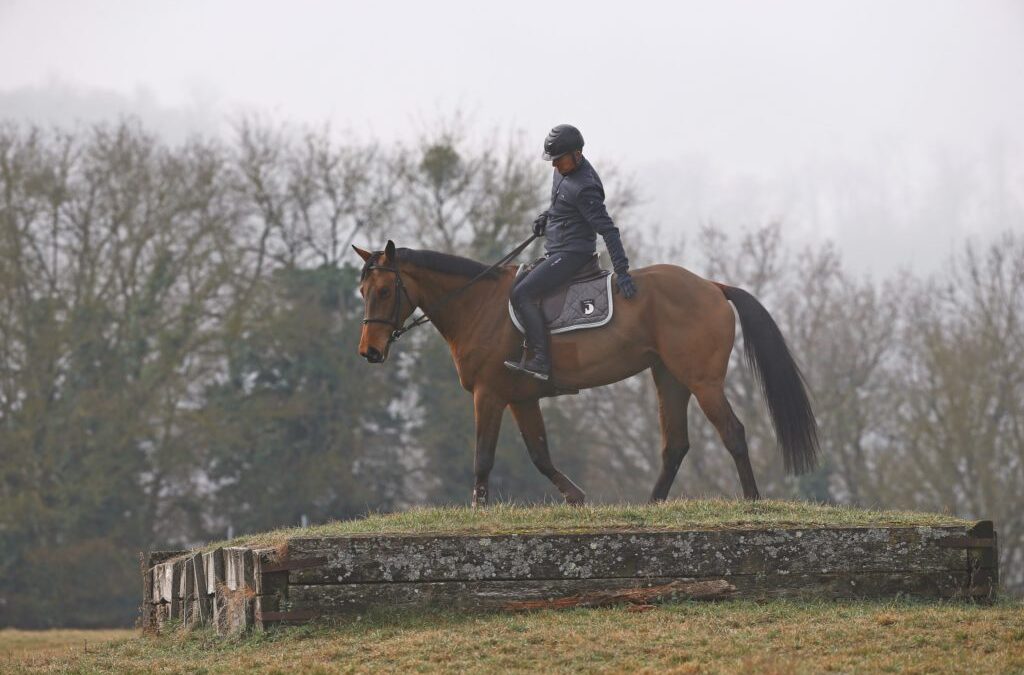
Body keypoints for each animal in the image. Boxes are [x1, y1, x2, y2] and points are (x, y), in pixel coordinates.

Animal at [354, 240, 818, 507]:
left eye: (385, 291)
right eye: (362, 291)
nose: (369, 352)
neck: (478, 305)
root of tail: (712, 286)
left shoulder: (488, 394)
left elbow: (483, 458)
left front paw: (479, 511)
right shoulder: (522, 398)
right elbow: (540, 455)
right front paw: (576, 498)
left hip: (702, 381)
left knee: (733, 433)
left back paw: (752, 501)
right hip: (668, 377)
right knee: (675, 446)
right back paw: (651, 505)